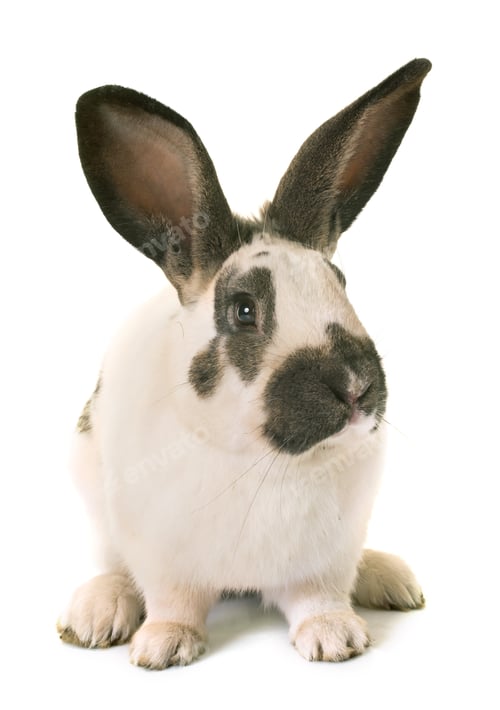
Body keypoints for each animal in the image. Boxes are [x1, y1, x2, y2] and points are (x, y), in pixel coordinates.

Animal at [58, 58, 431, 669]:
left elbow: (319, 596)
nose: (355, 387)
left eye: (341, 281)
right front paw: (164, 645)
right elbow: (172, 601)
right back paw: (95, 614)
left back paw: (389, 578)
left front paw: (336, 637)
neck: (263, 461)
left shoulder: (326, 559)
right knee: (114, 568)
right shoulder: (164, 559)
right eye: (244, 310)